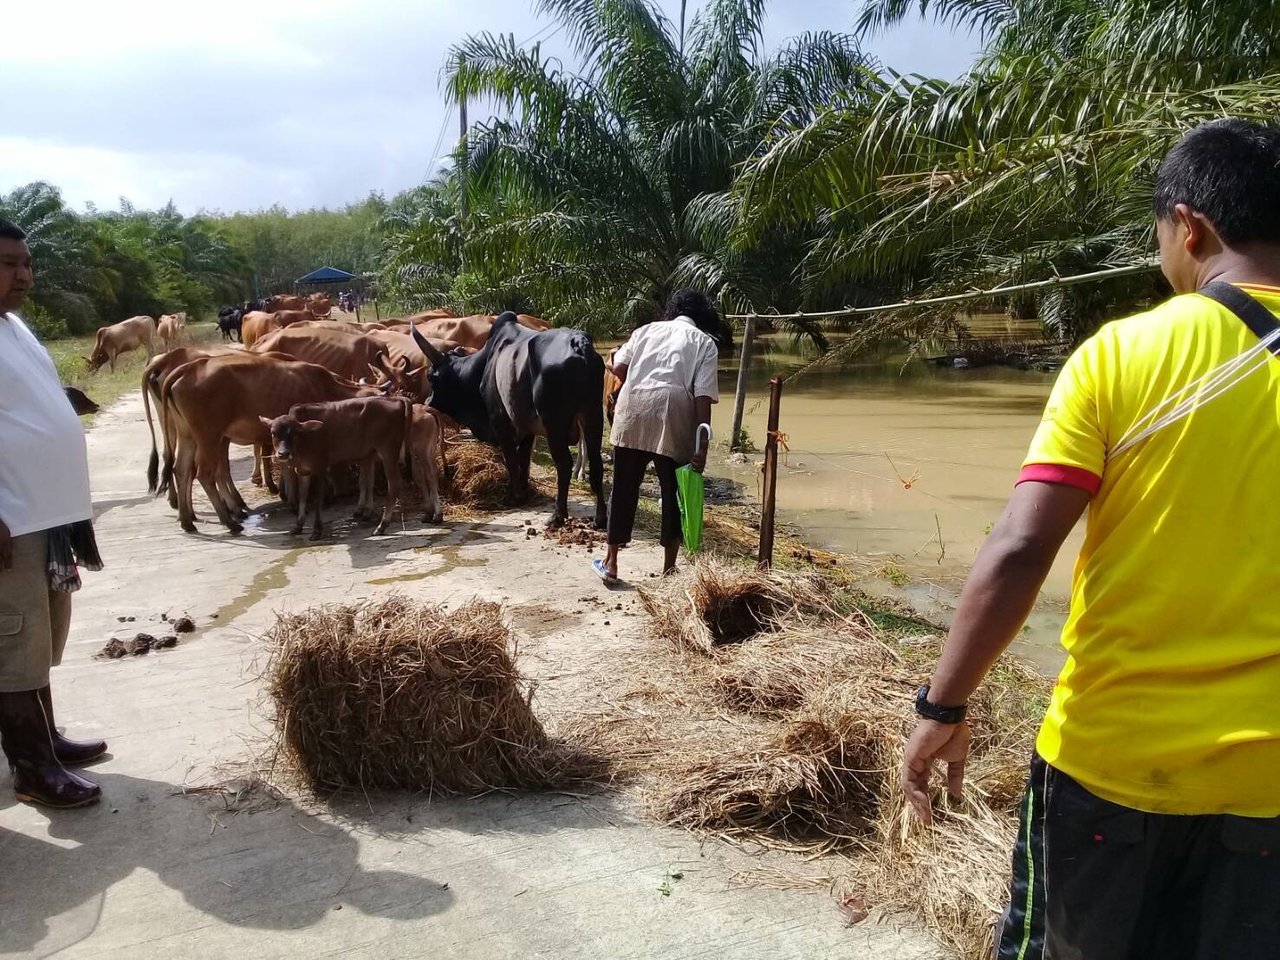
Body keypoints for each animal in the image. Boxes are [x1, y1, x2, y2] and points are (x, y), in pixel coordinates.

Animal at [162, 358, 378, 535]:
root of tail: (189, 367)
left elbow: (289, 470)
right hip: (209, 437)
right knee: (205, 474)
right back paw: (229, 522)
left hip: (189, 435)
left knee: (182, 470)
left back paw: (188, 520)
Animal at [262, 394, 412, 537]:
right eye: (273, 433)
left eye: (294, 433)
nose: (283, 454)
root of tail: (396, 399)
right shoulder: (303, 470)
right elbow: (303, 496)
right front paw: (298, 526)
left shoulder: (320, 467)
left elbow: (317, 499)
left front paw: (317, 530)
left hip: (388, 451)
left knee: (393, 484)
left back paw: (382, 526)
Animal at [412, 313, 606, 527]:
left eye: (431, 377)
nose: (427, 401)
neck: (485, 363)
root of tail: (579, 344)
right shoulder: (527, 426)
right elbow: (523, 459)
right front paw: (525, 492)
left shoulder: (500, 419)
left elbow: (511, 458)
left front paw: (515, 497)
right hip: (593, 415)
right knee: (596, 463)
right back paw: (600, 518)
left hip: (554, 423)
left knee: (563, 464)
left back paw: (557, 515)